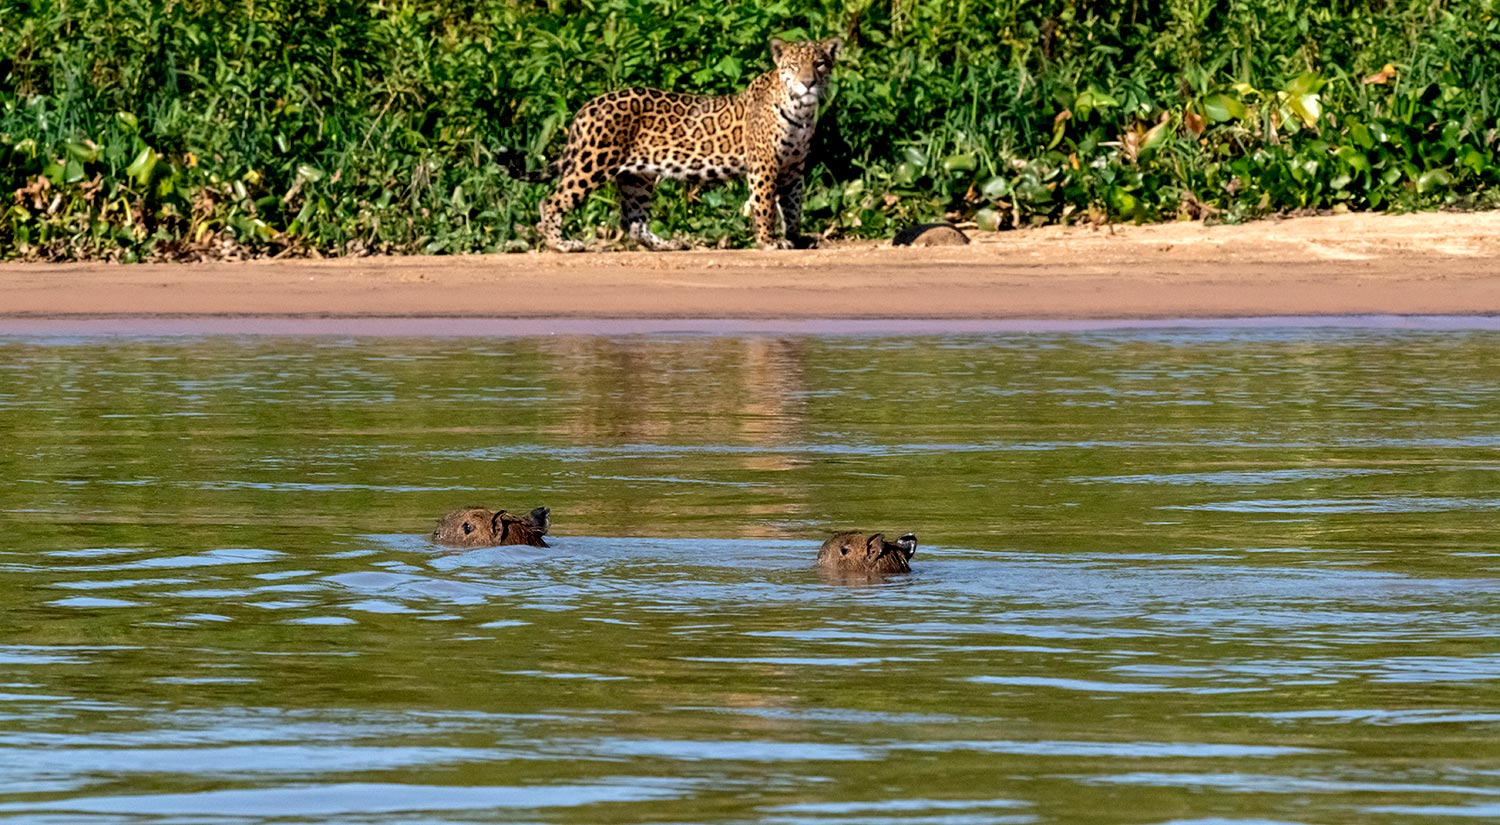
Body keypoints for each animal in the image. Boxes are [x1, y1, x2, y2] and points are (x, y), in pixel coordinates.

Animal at [528, 36, 843, 252]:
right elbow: (764, 205)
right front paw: (769, 241)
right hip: (593, 162)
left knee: (632, 221)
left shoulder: (794, 168)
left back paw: (666, 244)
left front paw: (796, 238)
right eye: (794, 66)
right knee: (552, 200)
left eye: (819, 64)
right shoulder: (764, 165)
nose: (808, 83)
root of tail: (588, 106)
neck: (802, 111)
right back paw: (561, 244)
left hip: (637, 176)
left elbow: (793, 205)